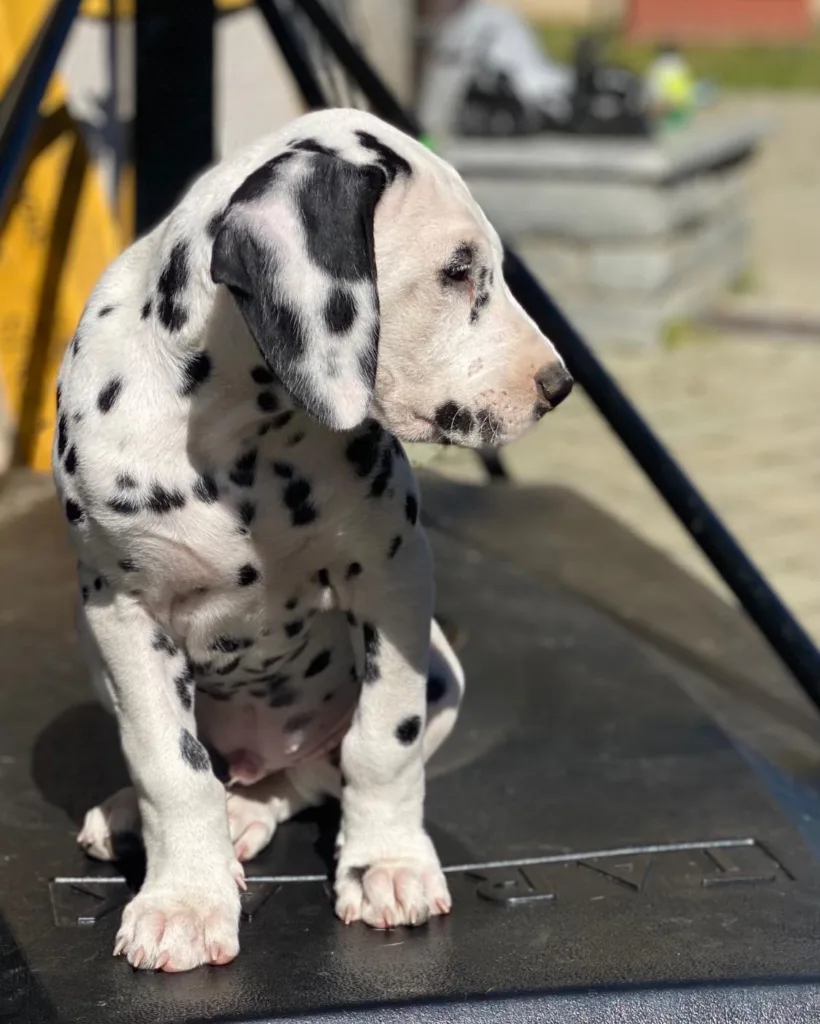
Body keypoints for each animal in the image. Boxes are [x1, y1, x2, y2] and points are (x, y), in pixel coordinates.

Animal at [52, 108, 569, 970]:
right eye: (459, 271)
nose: (559, 385)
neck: (241, 433)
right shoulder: (122, 610)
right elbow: (169, 764)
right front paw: (184, 898)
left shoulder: (392, 580)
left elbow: (381, 743)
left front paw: (386, 863)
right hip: (98, 661)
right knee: (211, 767)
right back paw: (145, 814)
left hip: (443, 676)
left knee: (305, 781)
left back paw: (253, 809)